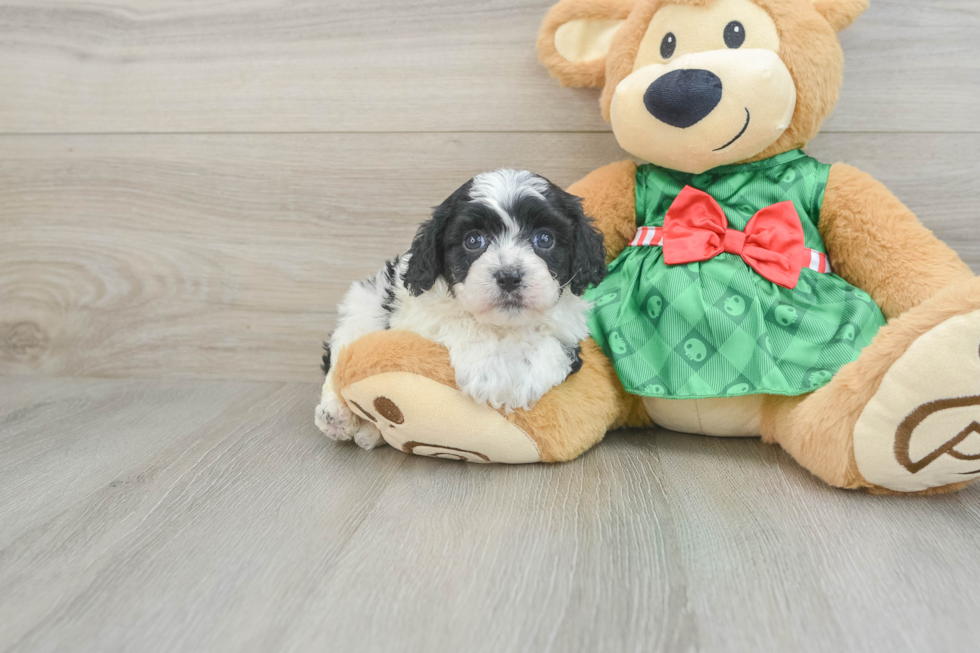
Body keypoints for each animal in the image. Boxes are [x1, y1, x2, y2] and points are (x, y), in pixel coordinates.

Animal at [314, 168, 604, 448]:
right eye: (473, 241)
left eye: (544, 238)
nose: (509, 276)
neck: (503, 326)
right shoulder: (416, 314)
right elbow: (458, 320)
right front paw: (489, 371)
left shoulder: (569, 335)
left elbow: (548, 344)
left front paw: (519, 376)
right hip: (362, 305)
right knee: (341, 358)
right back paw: (337, 415)